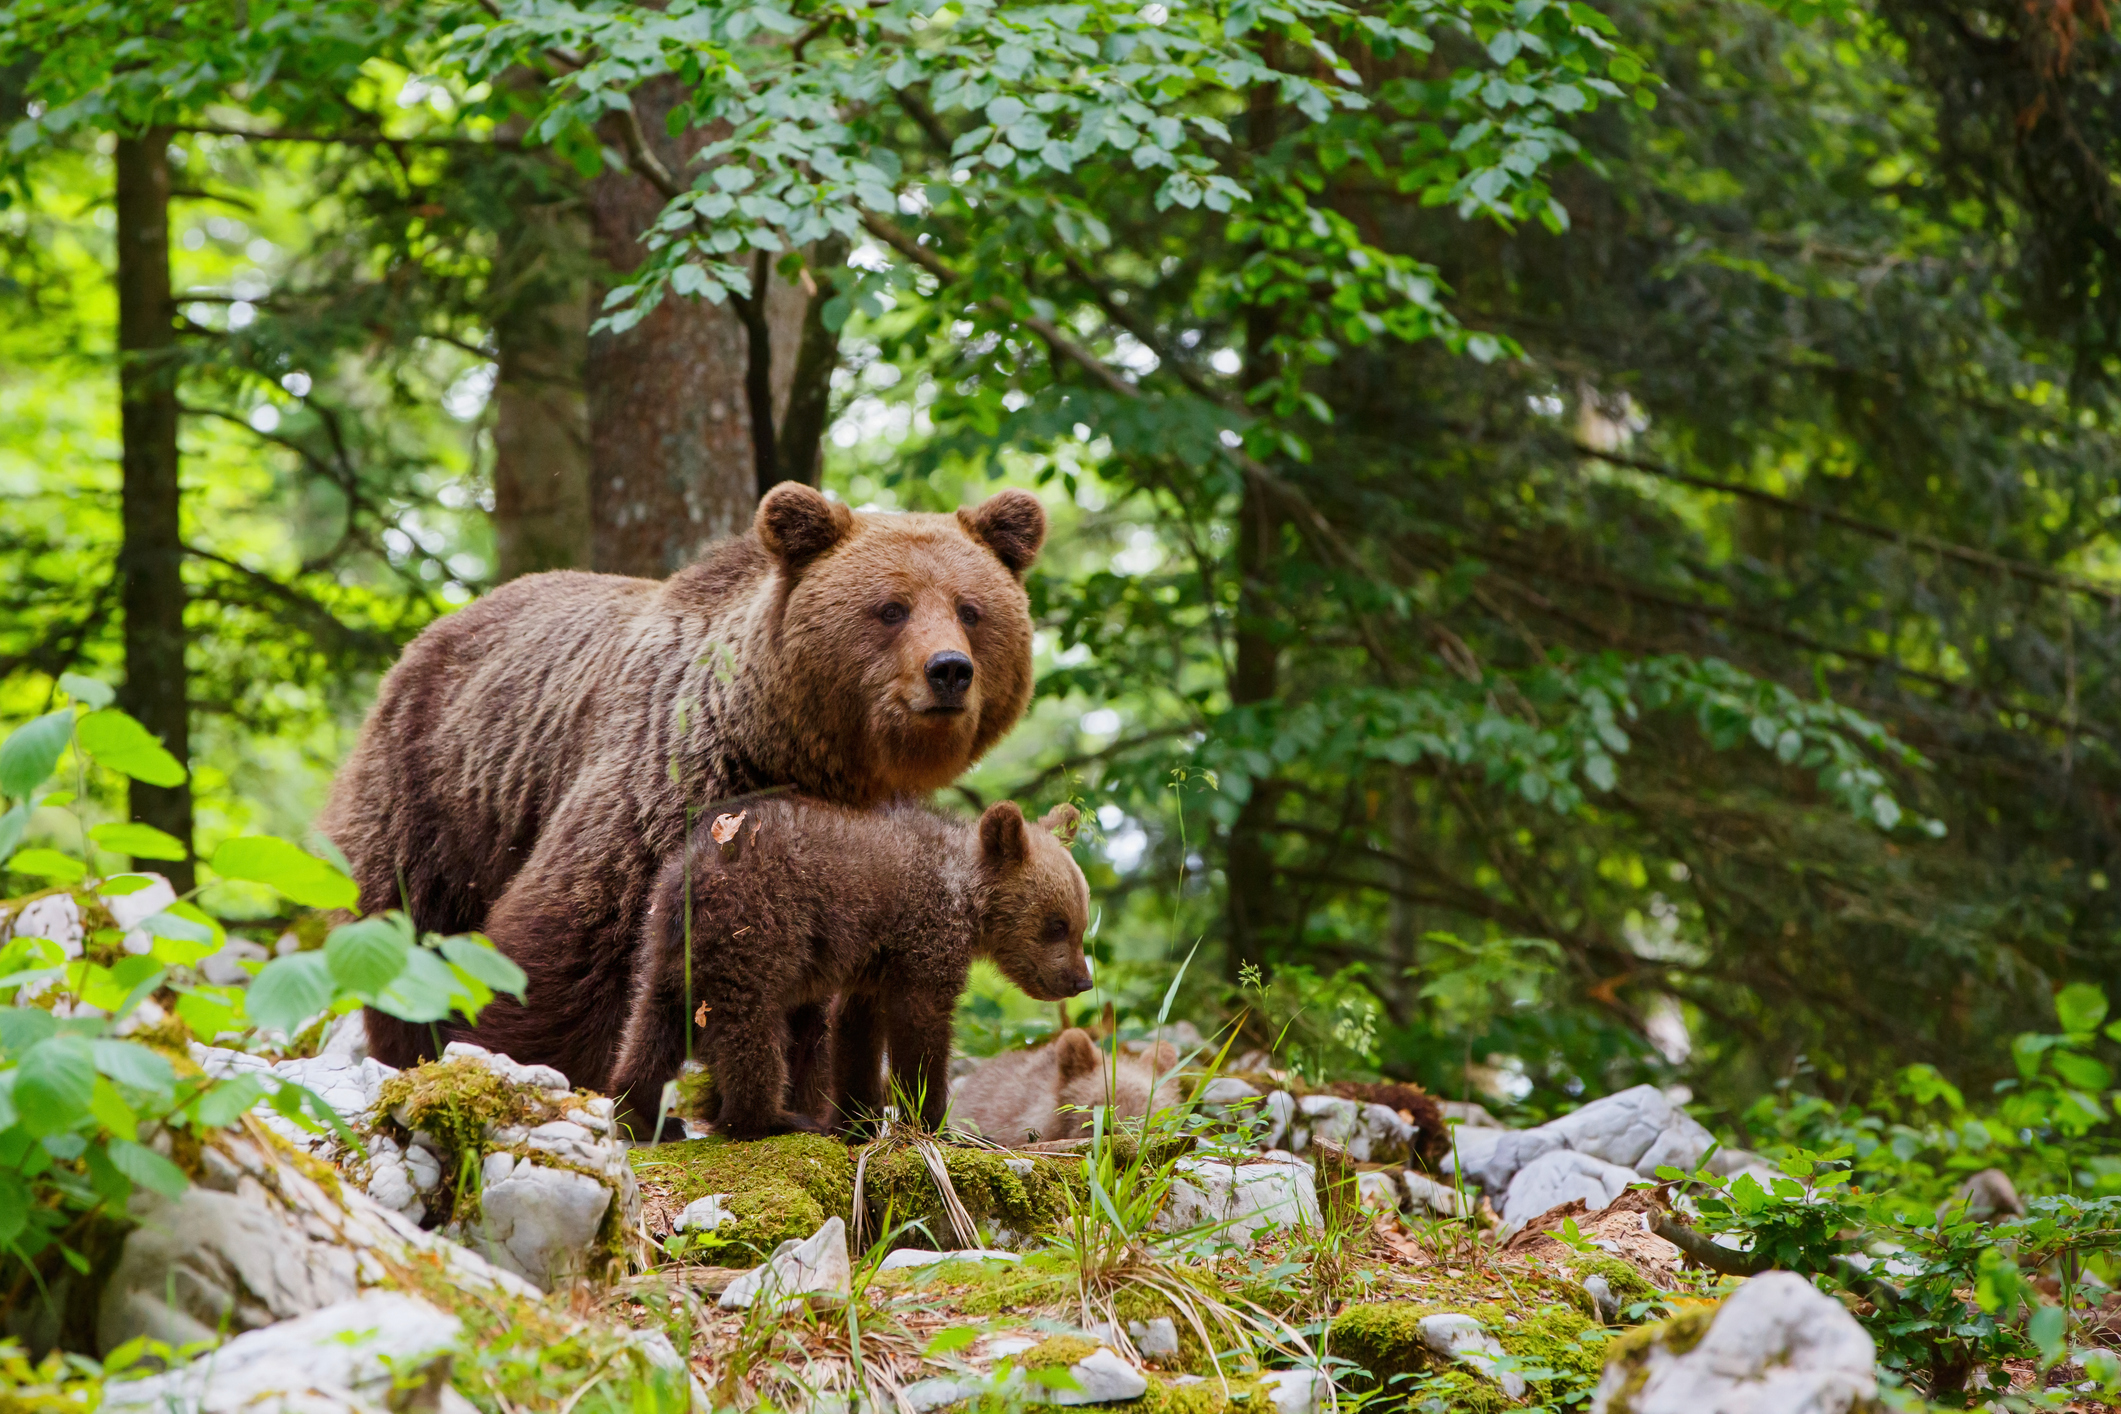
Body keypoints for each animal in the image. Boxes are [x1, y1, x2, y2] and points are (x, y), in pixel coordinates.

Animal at [318, 481, 1047, 1093]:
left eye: (971, 610)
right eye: (891, 608)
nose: (948, 670)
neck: (795, 752)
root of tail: (436, 627)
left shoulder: (845, 858)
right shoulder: (668, 789)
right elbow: (572, 943)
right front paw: (528, 1062)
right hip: (437, 789)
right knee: (409, 930)